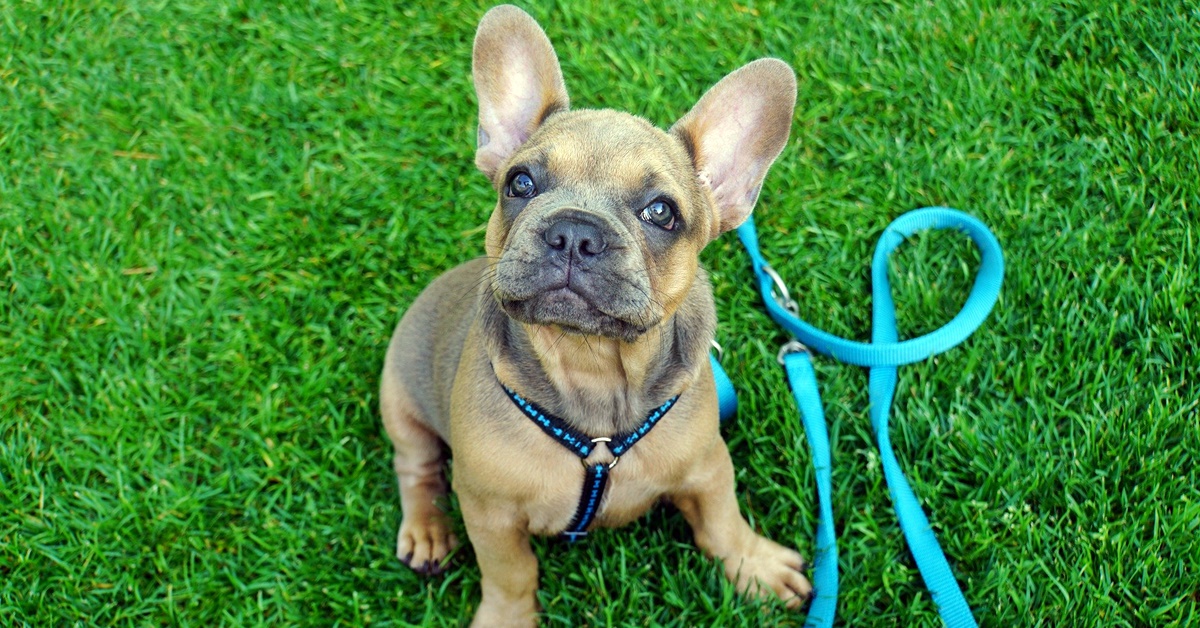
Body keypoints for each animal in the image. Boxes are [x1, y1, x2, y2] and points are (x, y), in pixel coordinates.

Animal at [379, 3, 811, 624]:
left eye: (661, 212)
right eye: (520, 183)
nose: (574, 232)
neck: (592, 366)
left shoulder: (708, 468)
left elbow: (723, 524)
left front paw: (754, 565)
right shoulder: (489, 513)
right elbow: (511, 573)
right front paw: (507, 617)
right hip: (400, 398)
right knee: (415, 468)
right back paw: (427, 531)